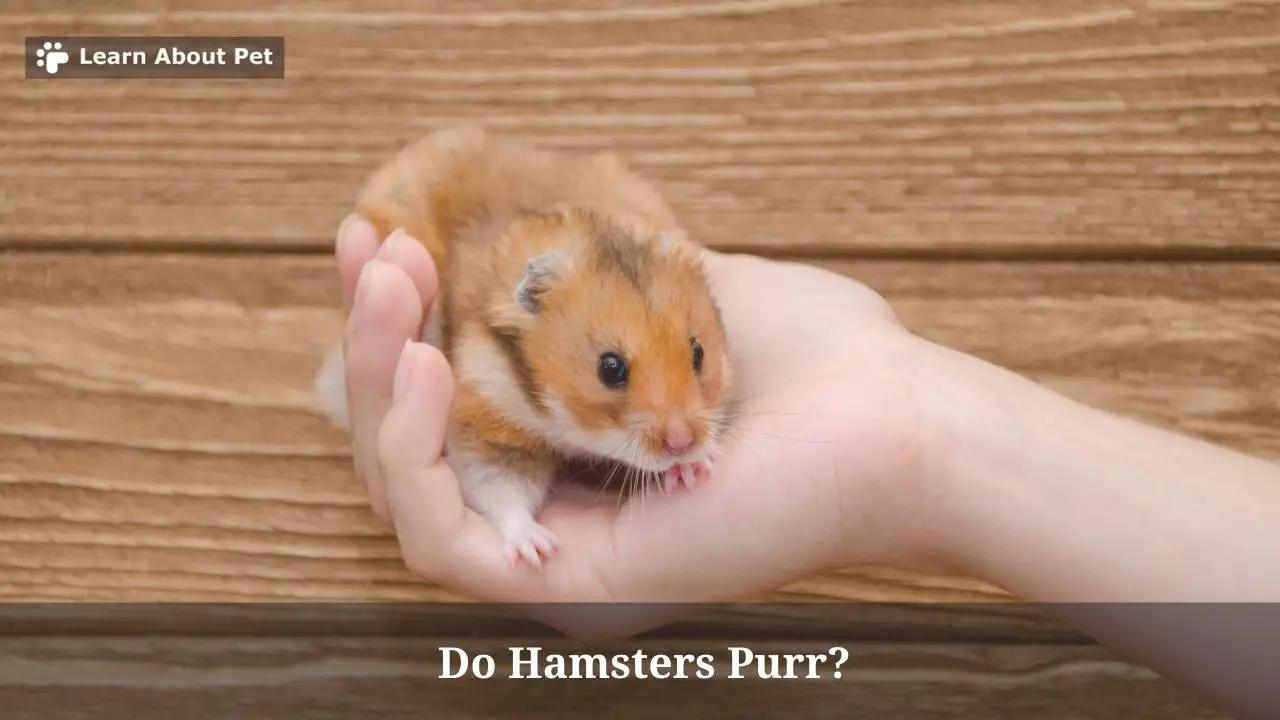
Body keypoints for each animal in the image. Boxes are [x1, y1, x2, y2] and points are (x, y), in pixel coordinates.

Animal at [315, 127, 733, 568]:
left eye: (698, 353)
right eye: (610, 368)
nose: (683, 443)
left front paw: (696, 467)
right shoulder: (486, 421)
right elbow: (501, 488)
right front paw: (537, 550)